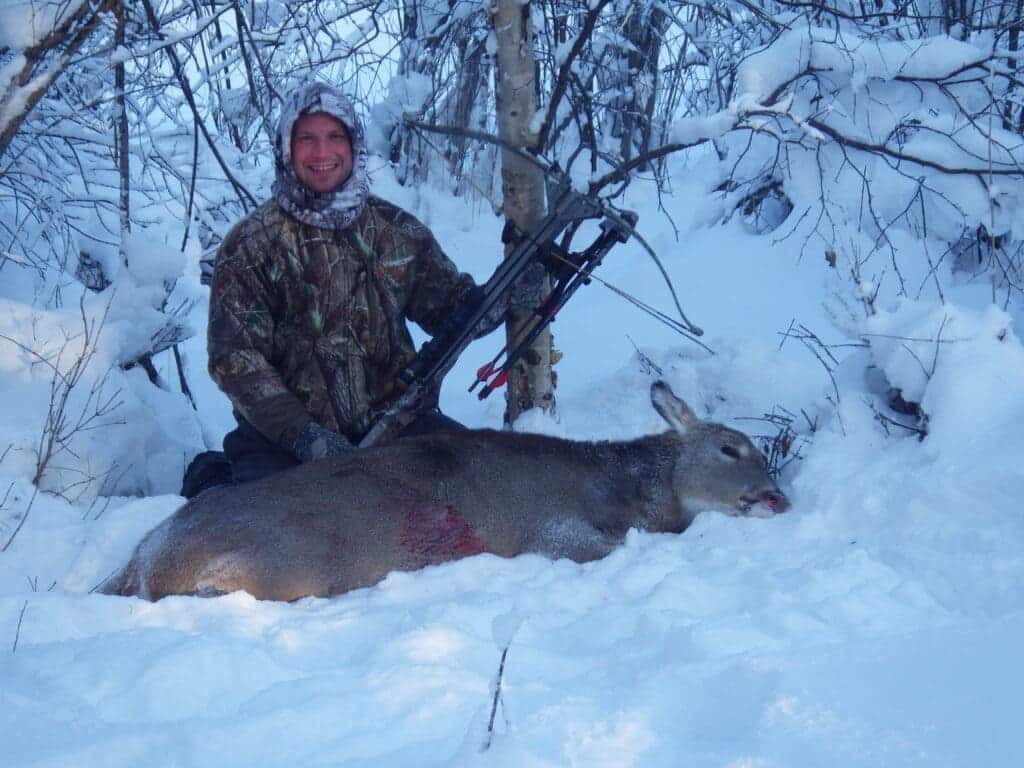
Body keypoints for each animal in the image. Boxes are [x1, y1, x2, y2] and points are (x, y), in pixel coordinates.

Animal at [103, 382, 786, 606]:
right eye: (731, 448)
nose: (777, 497)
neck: (629, 485)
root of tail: (143, 558)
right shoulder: (552, 531)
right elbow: (602, 545)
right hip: (276, 561)